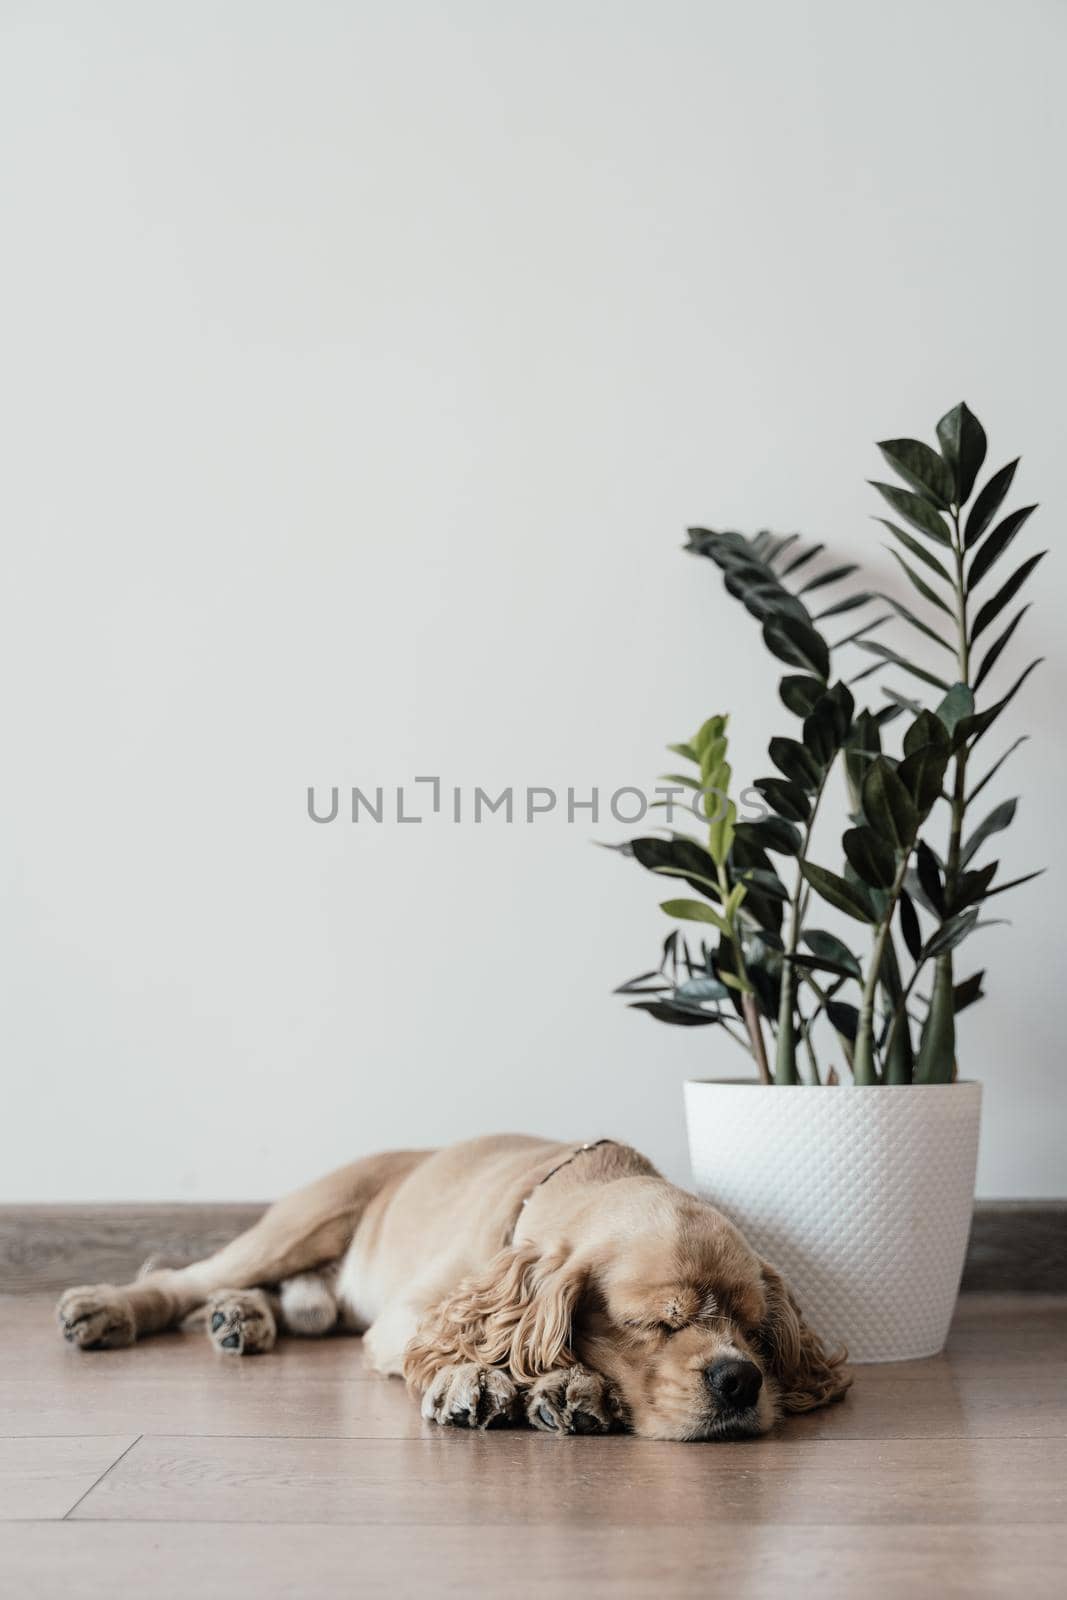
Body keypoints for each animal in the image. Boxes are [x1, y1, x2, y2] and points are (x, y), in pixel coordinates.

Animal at [56, 1139, 851, 1440]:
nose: (740, 1381)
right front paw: (477, 1380)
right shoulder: (416, 1312)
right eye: (656, 1322)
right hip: (308, 1216)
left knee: (292, 1301)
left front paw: (573, 1390)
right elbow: (447, 1346)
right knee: (181, 1279)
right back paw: (107, 1309)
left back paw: (240, 1319)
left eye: (754, 1331)